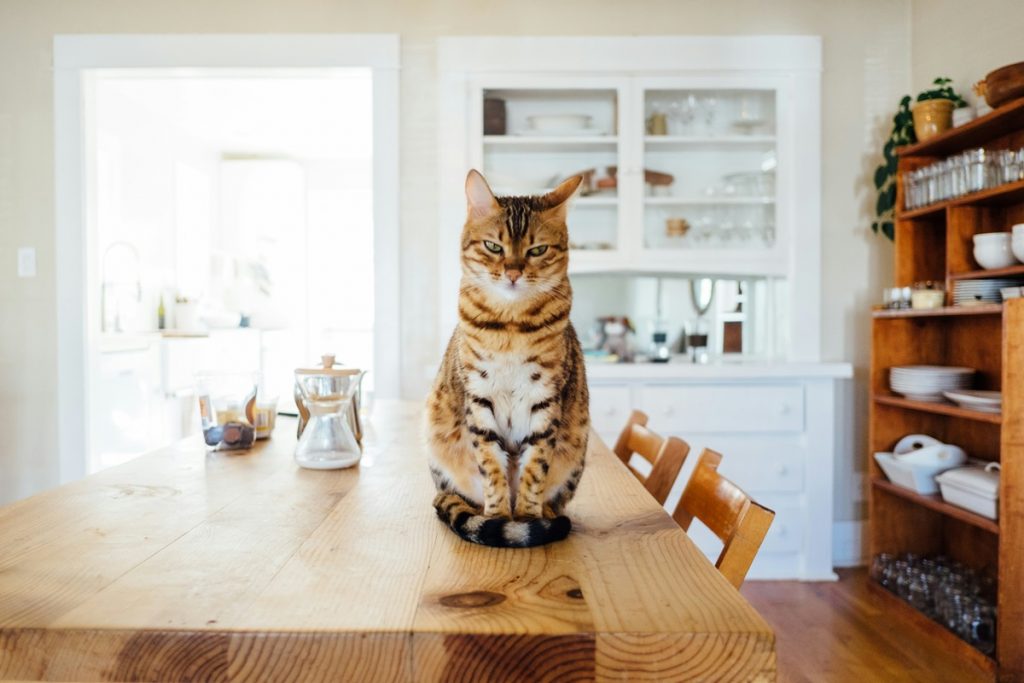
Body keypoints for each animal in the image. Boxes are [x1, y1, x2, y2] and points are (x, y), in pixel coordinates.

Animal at [425, 171, 593, 548]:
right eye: (493, 247)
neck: (511, 327)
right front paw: (499, 517)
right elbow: (490, 466)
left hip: (577, 449)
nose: (513, 272)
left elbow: (535, 468)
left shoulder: (546, 399)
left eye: (538, 250)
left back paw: (546, 514)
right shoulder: (478, 397)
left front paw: (528, 518)